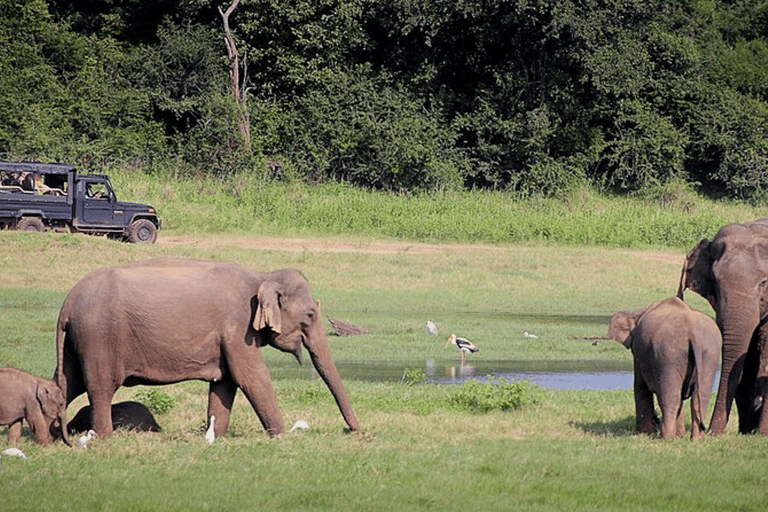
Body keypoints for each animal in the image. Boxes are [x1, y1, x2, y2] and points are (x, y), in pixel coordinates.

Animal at [54, 258, 360, 438]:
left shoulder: (229, 337)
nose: (354, 431)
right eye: (310, 314)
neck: (261, 275)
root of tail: (67, 303)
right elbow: (251, 377)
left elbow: (225, 383)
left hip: (78, 341)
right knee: (100, 387)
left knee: (66, 383)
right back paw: (104, 438)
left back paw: (54, 436)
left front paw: (217, 437)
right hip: (99, 338)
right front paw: (282, 436)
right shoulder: (238, 327)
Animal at [608, 296, 724, 440]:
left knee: (670, 398)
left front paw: (643, 434)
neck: (638, 313)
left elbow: (640, 386)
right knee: (699, 398)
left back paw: (666, 438)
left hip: (668, 354)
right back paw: (696, 440)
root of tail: (692, 331)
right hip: (709, 354)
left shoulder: (638, 352)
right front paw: (679, 436)